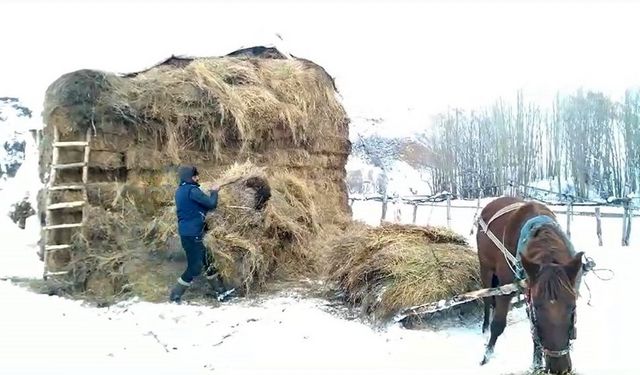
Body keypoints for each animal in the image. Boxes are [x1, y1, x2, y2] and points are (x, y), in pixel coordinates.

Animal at [476, 197, 584, 374]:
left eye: (573, 307)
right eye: (538, 307)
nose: (559, 368)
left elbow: (534, 333)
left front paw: (537, 364)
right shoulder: (507, 290)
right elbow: (498, 324)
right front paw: (486, 357)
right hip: (486, 268)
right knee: (487, 300)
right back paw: (485, 327)